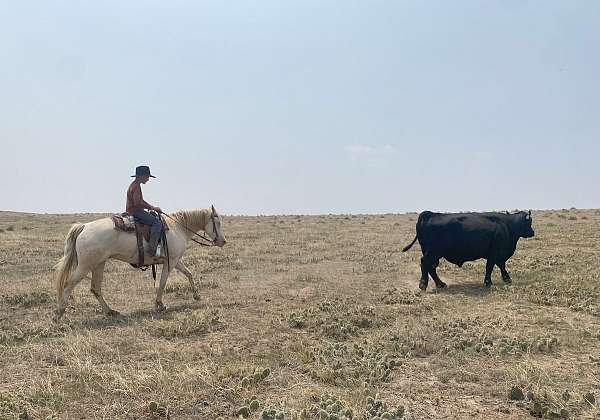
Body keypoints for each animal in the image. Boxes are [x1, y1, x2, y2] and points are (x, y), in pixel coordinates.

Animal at [53, 207, 225, 322]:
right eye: (217, 222)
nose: (222, 241)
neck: (178, 227)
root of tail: (84, 227)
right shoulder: (171, 262)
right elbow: (162, 283)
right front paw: (160, 304)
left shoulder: (176, 260)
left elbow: (189, 273)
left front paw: (196, 295)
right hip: (85, 266)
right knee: (68, 285)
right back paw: (58, 314)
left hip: (98, 264)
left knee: (95, 288)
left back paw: (110, 311)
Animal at [404, 212, 536, 290]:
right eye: (529, 222)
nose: (533, 232)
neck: (507, 225)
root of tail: (430, 214)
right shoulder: (494, 254)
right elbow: (490, 267)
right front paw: (489, 282)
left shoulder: (497, 256)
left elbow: (501, 266)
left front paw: (506, 279)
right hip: (432, 253)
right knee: (425, 263)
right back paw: (423, 284)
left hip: (434, 254)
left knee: (431, 268)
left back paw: (440, 284)